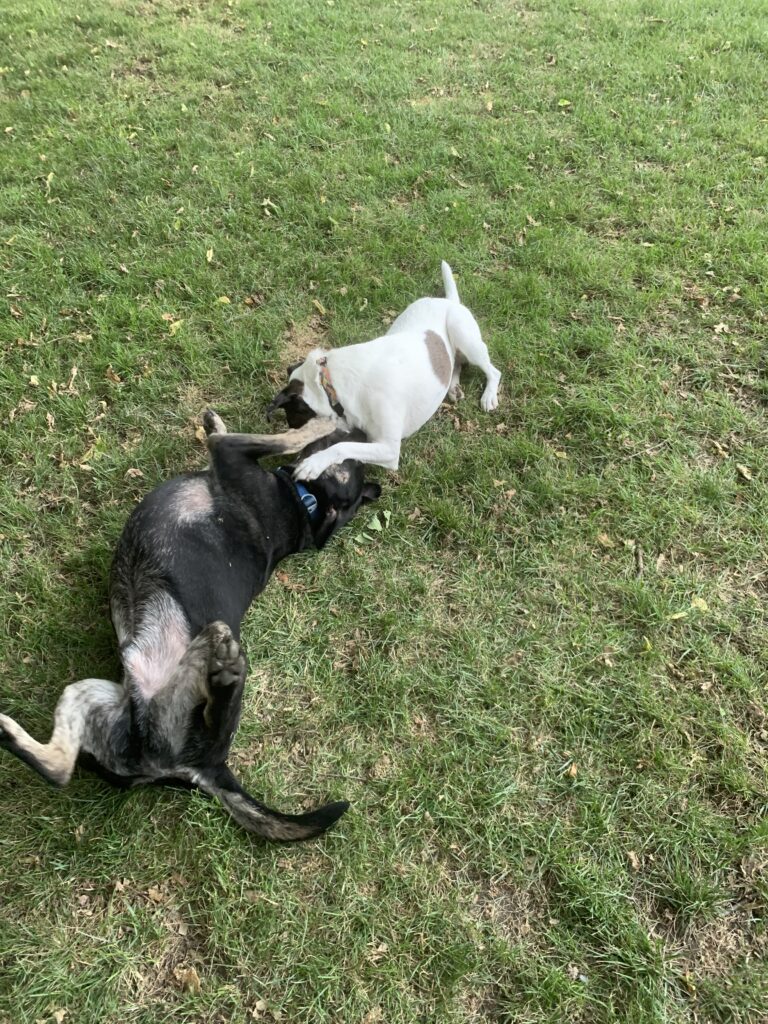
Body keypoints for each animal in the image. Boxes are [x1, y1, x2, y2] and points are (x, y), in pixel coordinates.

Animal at [0, 413, 380, 840]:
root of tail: (200, 768)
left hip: (202, 654)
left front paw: (314, 426)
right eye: (355, 460)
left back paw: (227, 675)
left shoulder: (230, 453)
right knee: (58, 769)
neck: (305, 505)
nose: (360, 429)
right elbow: (259, 438)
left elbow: (281, 439)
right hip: (97, 698)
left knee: (216, 717)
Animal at [267, 262, 502, 481]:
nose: (296, 456)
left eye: (296, 422)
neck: (331, 383)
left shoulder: (388, 448)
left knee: (493, 371)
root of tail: (450, 301)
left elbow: (341, 447)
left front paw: (313, 464)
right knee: (455, 364)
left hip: (465, 337)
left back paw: (489, 396)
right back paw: (453, 388)